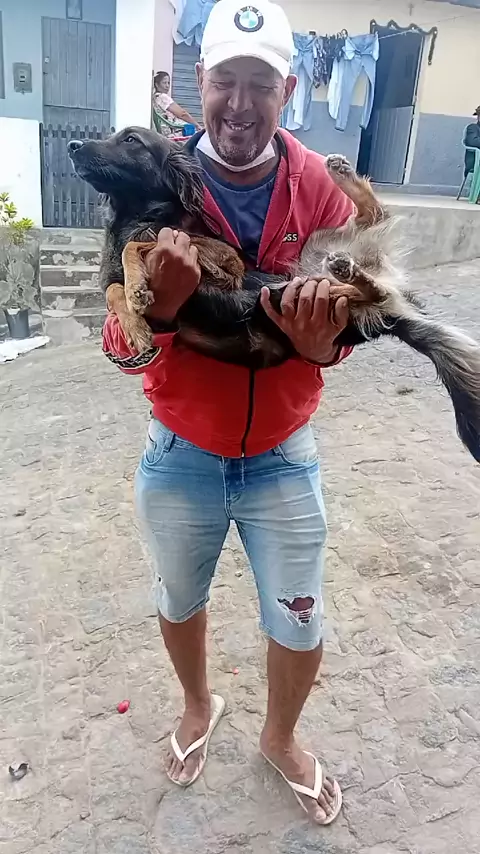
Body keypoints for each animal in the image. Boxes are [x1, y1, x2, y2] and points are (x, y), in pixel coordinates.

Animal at [68, 127, 480, 463]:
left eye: (131, 140)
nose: (72, 145)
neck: (137, 215)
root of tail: (395, 312)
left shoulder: (222, 262)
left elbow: (140, 245)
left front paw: (138, 286)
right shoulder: (123, 276)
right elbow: (113, 290)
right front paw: (135, 323)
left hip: (305, 285)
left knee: (372, 250)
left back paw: (344, 227)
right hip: (316, 262)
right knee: (372, 234)